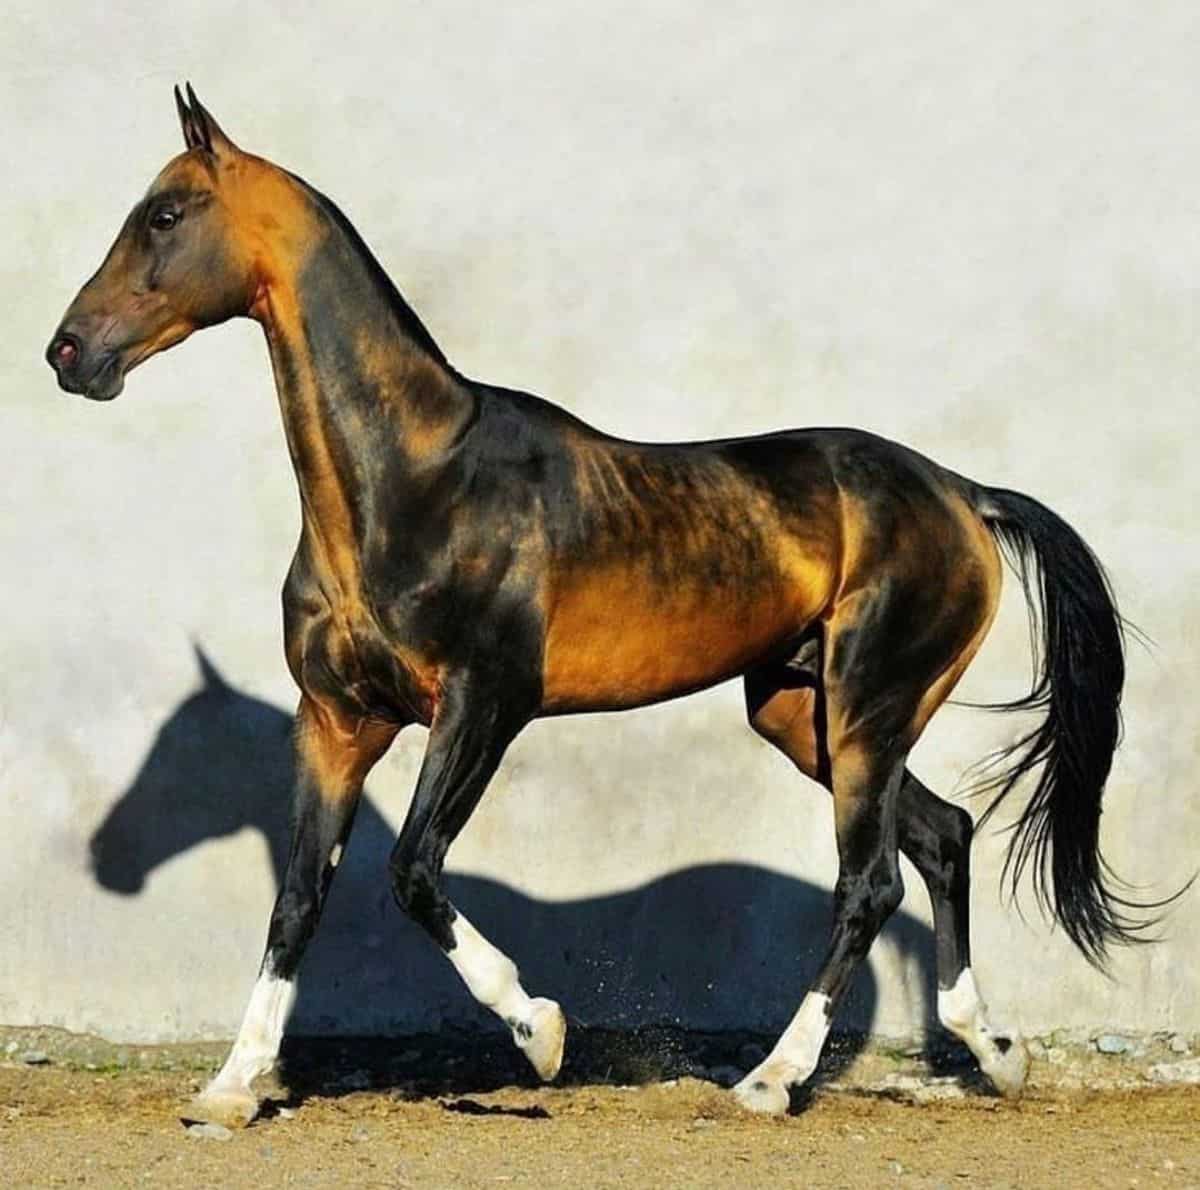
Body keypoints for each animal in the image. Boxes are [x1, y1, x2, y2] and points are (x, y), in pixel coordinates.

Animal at [46, 83, 1161, 1122]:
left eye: (165, 214)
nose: (67, 352)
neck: (412, 486)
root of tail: (962, 494)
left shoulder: (483, 705)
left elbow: (413, 869)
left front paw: (540, 1034)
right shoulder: (336, 722)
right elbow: (297, 900)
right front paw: (232, 1088)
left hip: (868, 711)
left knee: (872, 881)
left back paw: (770, 1079)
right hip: (805, 715)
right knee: (943, 837)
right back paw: (998, 1053)